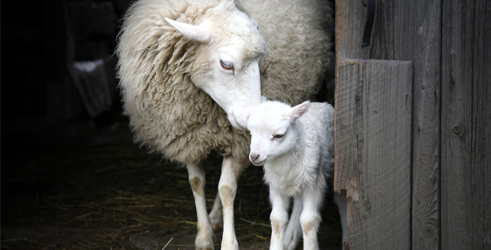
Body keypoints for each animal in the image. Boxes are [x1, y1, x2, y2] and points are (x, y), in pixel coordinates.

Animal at [116, 0, 334, 249]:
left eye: (260, 61)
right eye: (226, 64)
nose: (251, 118)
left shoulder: (238, 143)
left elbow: (227, 189)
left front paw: (229, 242)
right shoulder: (186, 136)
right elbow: (197, 182)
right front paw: (203, 235)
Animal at [248, 100, 348, 250]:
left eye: (279, 135)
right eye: (251, 133)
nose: (254, 156)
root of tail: (321, 103)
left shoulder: (314, 182)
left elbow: (308, 221)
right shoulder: (276, 184)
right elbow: (277, 219)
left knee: (341, 200)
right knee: (299, 202)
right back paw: (290, 237)